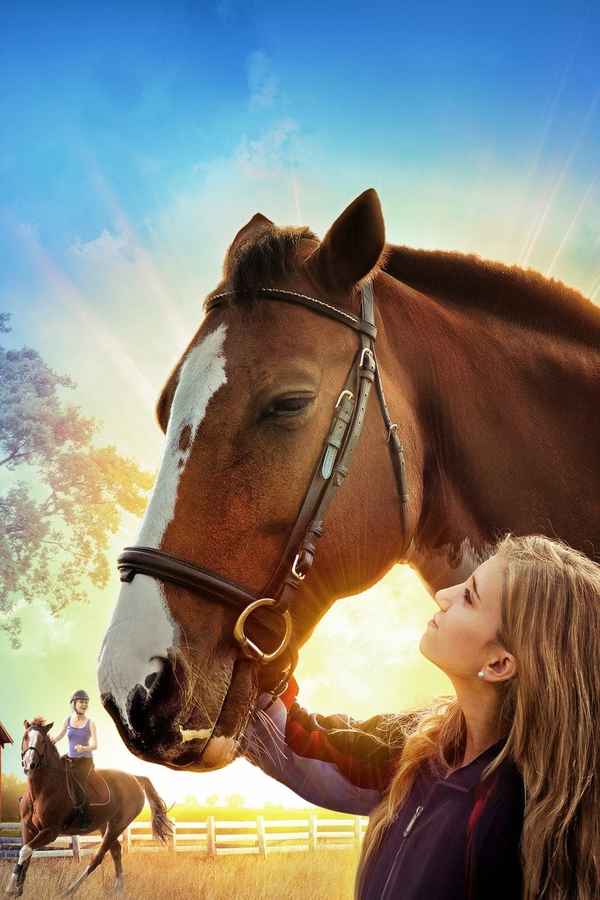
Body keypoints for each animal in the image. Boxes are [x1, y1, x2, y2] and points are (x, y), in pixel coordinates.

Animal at [5, 719, 172, 897]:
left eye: (42, 741)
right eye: (25, 737)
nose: (29, 764)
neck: (40, 790)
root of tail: (135, 778)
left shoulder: (50, 831)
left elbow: (25, 851)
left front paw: (10, 889)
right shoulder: (27, 827)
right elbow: (26, 853)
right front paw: (18, 890)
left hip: (118, 825)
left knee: (98, 857)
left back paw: (69, 891)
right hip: (105, 825)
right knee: (116, 851)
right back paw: (118, 890)